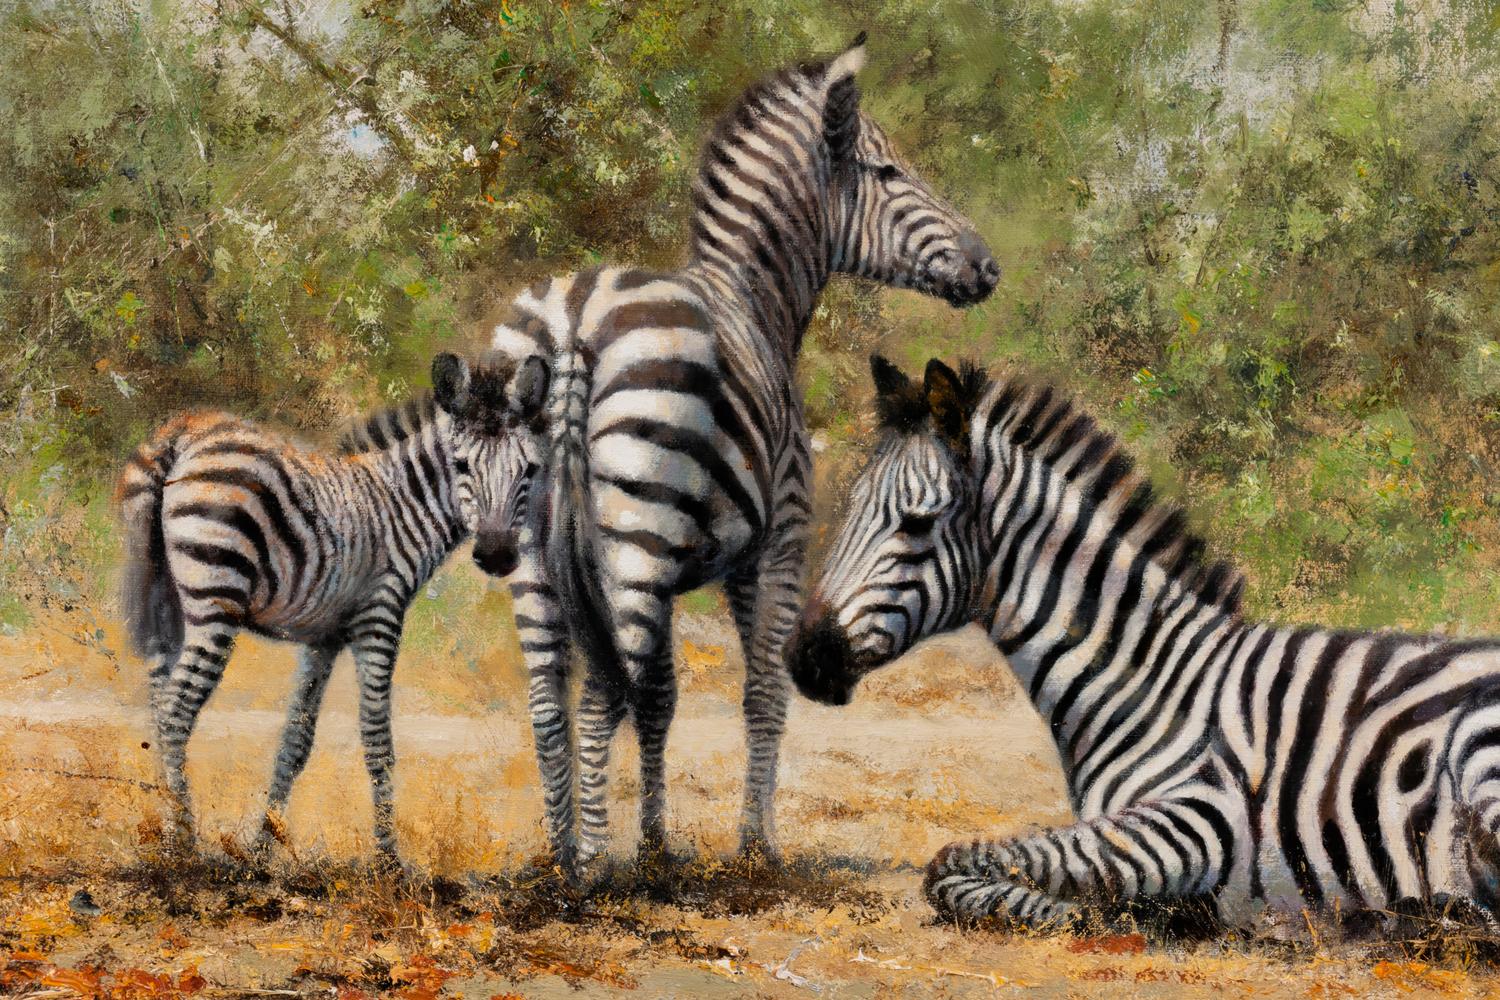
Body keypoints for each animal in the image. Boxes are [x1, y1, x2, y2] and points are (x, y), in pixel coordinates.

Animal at [117, 351, 549, 859]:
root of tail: (180, 434)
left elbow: (296, 739)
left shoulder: (323, 637)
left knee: (158, 701)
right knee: (176, 710)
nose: (498, 555)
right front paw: (389, 858)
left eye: (529, 470)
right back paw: (185, 841)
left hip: (161, 591)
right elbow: (378, 739)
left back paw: (169, 824)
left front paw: (263, 846)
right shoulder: (379, 614)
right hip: (216, 594)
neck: (401, 501)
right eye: (462, 465)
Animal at [479, 36, 998, 872]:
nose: (988, 267)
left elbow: (665, 698)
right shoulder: (775, 545)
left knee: (553, 701)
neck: (755, 297)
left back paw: (562, 856)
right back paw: (594, 867)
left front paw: (659, 842)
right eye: (891, 173)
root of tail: (575, 317)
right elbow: (759, 692)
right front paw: (755, 844)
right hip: (637, 535)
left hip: (524, 538)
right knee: (602, 695)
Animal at [789, 354, 1500, 929]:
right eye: (848, 509)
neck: (1153, 680)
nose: (804, 659)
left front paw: (1093, 913)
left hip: (1478, 754)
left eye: (916, 523)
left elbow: (951, 864)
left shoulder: (1198, 818)